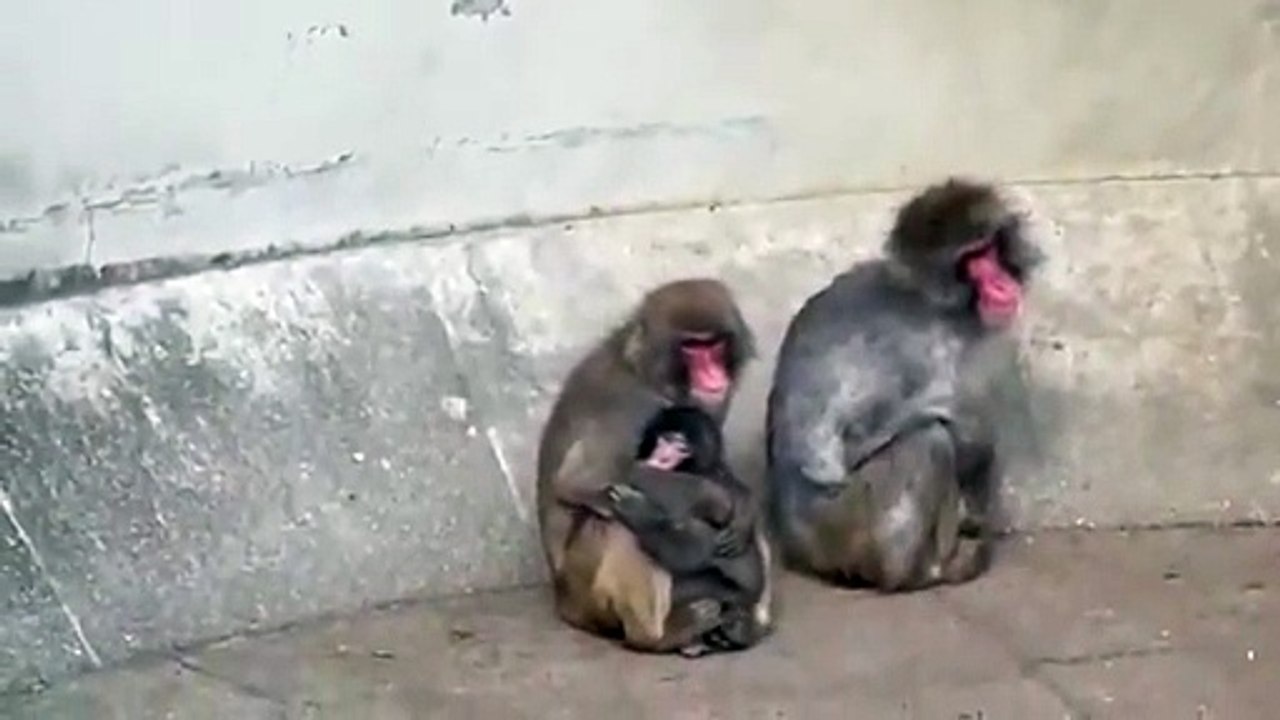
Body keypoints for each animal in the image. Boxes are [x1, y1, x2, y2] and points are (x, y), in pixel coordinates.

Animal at [764, 177, 1045, 592]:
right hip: (846, 526)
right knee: (929, 440)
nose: (1000, 282)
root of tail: (800, 550)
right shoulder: (927, 350)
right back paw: (918, 572)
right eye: (972, 260)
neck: (930, 300)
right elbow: (835, 446)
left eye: (990, 249)